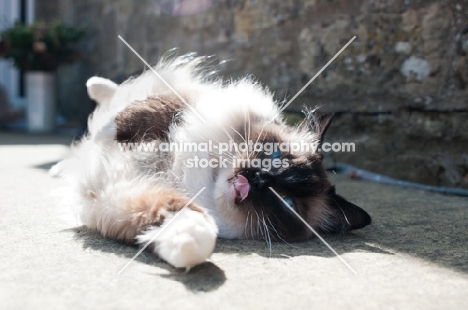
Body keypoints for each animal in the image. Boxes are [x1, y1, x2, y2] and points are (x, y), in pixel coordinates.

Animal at [51, 53, 372, 268]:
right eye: (275, 156)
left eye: (287, 203)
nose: (258, 178)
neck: (198, 177)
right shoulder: (189, 105)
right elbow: (142, 115)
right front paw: (102, 136)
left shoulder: (118, 195)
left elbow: (178, 219)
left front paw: (190, 240)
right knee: (115, 93)